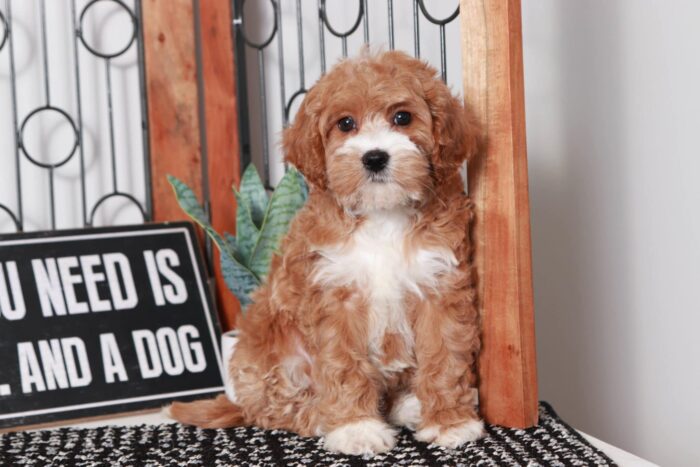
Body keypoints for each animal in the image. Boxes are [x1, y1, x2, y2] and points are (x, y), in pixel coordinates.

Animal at [172, 51, 484, 458]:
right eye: (345, 123)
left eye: (402, 117)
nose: (374, 158)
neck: (383, 214)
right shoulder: (336, 295)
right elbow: (343, 365)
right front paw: (356, 429)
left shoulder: (439, 286)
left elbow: (445, 356)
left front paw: (450, 422)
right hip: (267, 358)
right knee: (276, 408)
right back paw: (324, 416)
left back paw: (409, 405)